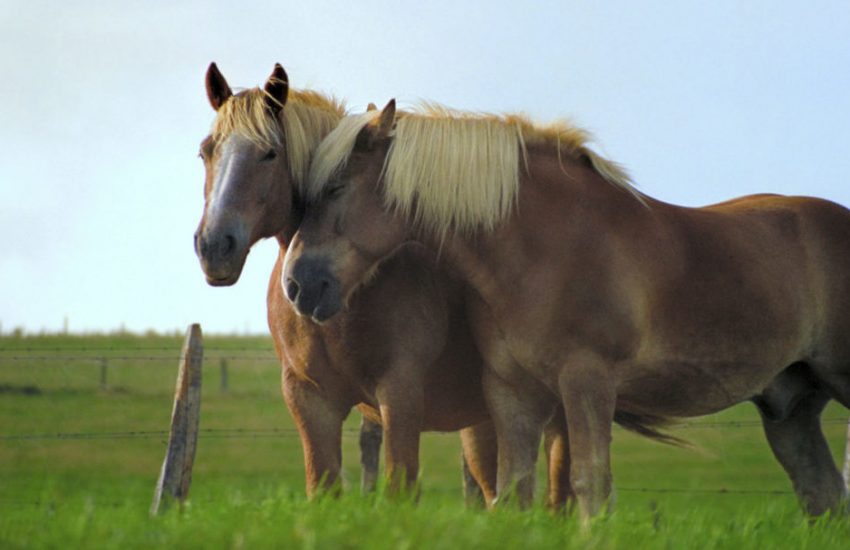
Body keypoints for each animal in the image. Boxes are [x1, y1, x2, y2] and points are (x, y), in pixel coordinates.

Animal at [194, 63, 508, 503]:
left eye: (269, 153)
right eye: (206, 150)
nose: (214, 247)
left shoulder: (400, 397)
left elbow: (399, 488)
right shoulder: (311, 402)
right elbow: (322, 486)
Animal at [282, 99, 850, 523]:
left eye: (336, 187)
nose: (296, 284)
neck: (549, 246)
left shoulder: (587, 381)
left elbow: (588, 482)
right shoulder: (511, 391)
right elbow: (514, 488)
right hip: (791, 408)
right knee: (822, 494)